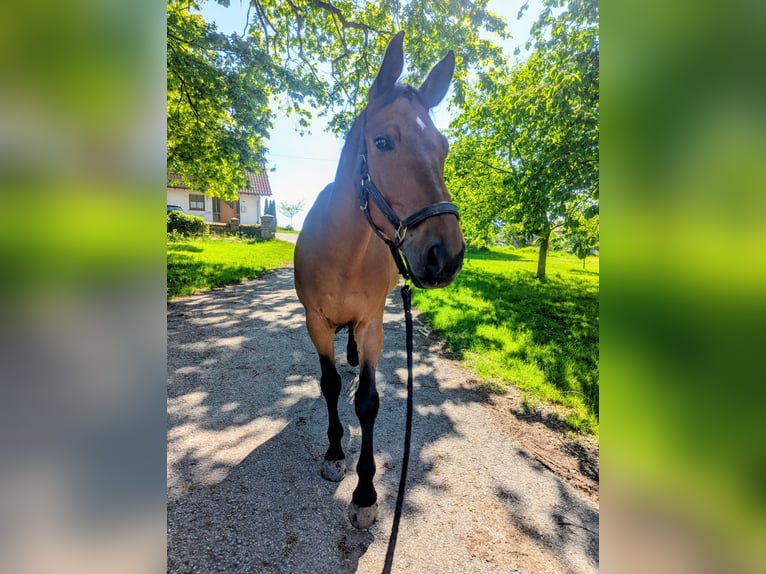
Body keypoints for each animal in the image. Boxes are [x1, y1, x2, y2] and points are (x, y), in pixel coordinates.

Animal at [294, 31, 465, 530]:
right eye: (383, 141)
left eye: (444, 148)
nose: (446, 255)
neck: (342, 253)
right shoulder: (315, 321)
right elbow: (329, 384)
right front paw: (335, 452)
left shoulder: (373, 322)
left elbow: (368, 401)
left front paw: (366, 494)